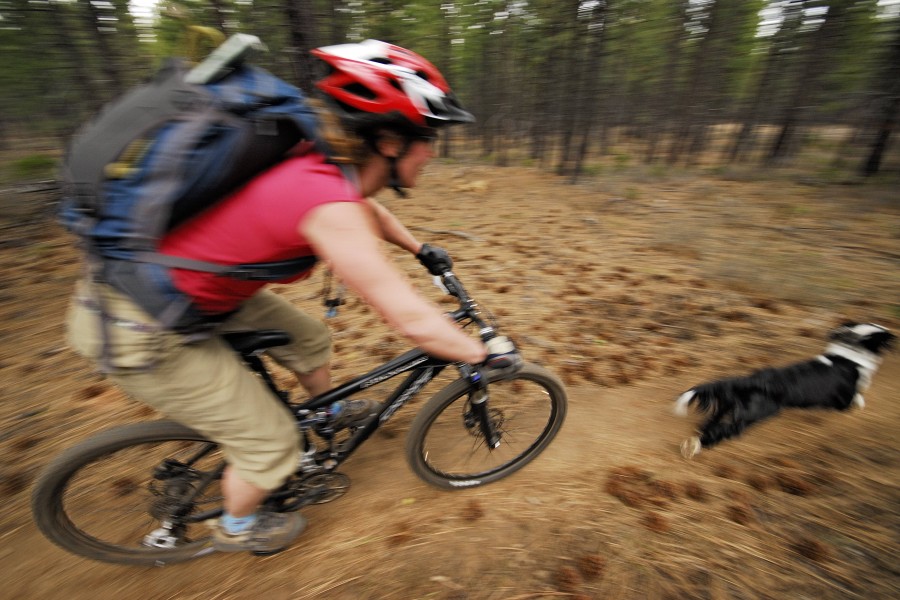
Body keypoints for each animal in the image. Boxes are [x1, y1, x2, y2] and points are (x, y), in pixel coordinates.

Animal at [676, 324, 892, 460]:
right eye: (882, 334)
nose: (892, 332)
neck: (848, 355)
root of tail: (747, 380)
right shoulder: (844, 398)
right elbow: (857, 398)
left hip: (727, 409)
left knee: (709, 425)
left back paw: (693, 443)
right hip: (752, 415)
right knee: (722, 431)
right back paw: (693, 448)